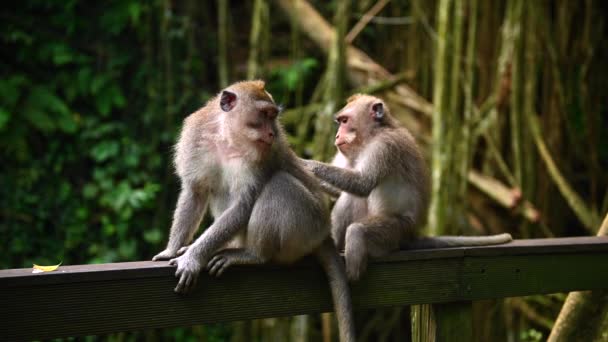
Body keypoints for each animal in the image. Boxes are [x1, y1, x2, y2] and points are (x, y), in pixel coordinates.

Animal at [151, 81, 356, 342]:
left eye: (273, 116)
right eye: (264, 114)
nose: (272, 133)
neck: (227, 138)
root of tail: (324, 234)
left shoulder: (264, 155)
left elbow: (243, 205)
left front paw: (192, 259)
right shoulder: (195, 138)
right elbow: (195, 192)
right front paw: (172, 249)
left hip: (308, 228)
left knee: (278, 184)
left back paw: (253, 254)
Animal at [304, 93, 512, 280]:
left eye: (345, 121)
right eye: (340, 121)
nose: (337, 135)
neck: (372, 136)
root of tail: (412, 235)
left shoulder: (384, 147)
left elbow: (363, 184)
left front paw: (308, 164)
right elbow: (342, 190)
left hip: (396, 232)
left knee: (358, 227)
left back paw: (352, 273)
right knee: (349, 198)